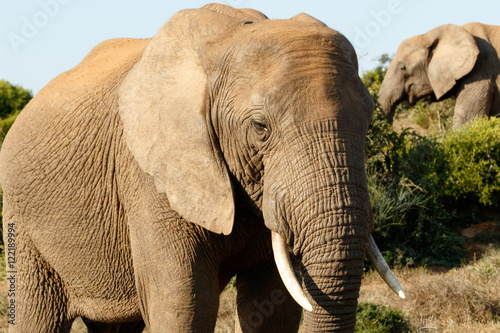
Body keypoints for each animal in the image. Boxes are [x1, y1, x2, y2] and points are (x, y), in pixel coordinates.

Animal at [0, 3, 404, 332]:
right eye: (261, 128)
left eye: (369, 122)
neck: (230, 40)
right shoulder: (148, 175)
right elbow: (185, 304)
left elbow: (272, 306)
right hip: (23, 223)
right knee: (36, 318)